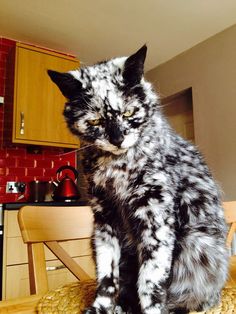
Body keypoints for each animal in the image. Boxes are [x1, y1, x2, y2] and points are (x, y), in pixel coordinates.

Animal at [47, 46, 229, 314]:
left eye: (129, 112)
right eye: (94, 121)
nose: (117, 139)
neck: (117, 169)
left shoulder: (156, 219)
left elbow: (150, 281)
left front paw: (151, 308)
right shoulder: (104, 220)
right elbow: (107, 276)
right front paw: (102, 307)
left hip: (198, 246)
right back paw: (123, 306)